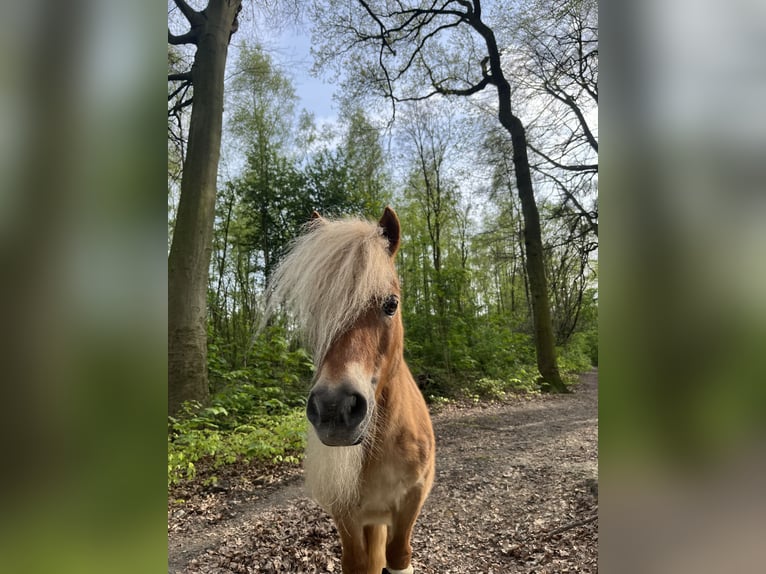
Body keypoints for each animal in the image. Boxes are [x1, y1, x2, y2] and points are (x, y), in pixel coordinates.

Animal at [268, 208, 438, 574]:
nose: (335, 408)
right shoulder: (345, 514)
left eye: (391, 304)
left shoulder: (412, 499)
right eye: (315, 312)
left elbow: (399, 556)